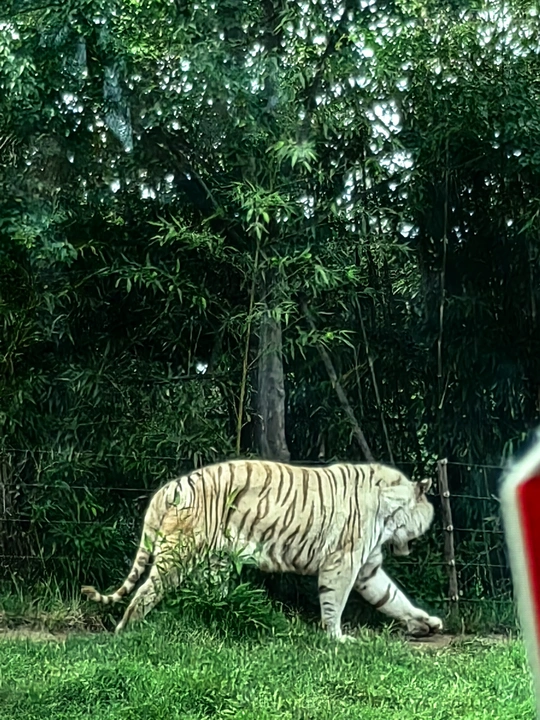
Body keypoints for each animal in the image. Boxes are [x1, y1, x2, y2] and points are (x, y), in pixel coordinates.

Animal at [82, 459, 443, 640]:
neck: (389, 512)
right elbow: (335, 602)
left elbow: (393, 598)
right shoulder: (343, 561)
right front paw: (337, 638)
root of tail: (168, 487)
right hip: (178, 555)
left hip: (215, 561)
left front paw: (424, 622)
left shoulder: (368, 568)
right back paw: (127, 632)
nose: (411, 549)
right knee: (145, 592)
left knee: (208, 596)